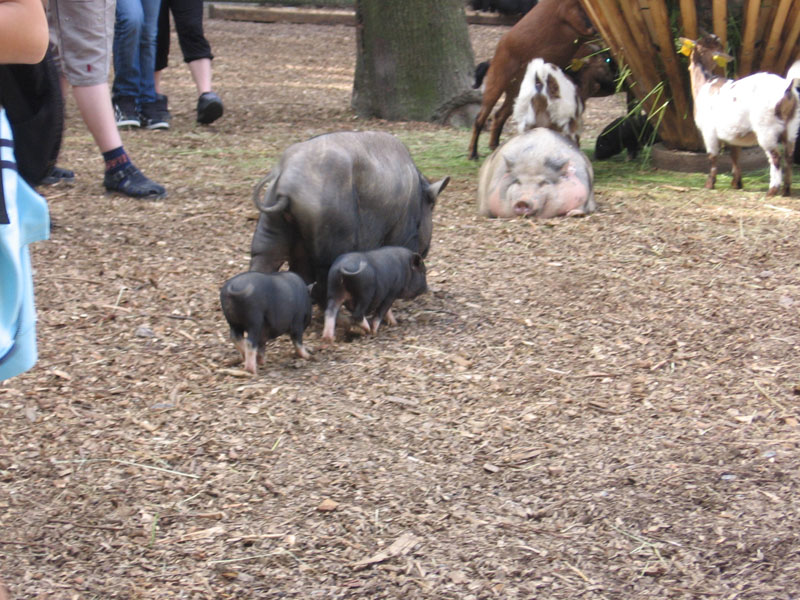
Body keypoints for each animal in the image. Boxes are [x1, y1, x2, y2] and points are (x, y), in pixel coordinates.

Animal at [250, 134, 450, 308]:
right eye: (431, 209)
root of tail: (285, 184)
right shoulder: (404, 231)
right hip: (332, 233)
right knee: (326, 274)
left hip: (270, 222)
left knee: (264, 258)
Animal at [468, 0, 592, 159]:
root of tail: (492, 60)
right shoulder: (571, 14)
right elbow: (590, 29)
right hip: (495, 85)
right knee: (479, 119)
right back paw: (473, 153)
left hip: (514, 94)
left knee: (499, 115)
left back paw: (495, 146)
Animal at [680, 34, 800, 197]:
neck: (705, 83)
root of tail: (787, 88)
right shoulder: (733, 134)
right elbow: (735, 155)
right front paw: (737, 183)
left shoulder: (709, 131)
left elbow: (712, 156)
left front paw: (709, 184)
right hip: (792, 126)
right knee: (789, 156)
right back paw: (786, 190)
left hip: (766, 127)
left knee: (775, 157)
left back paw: (772, 190)